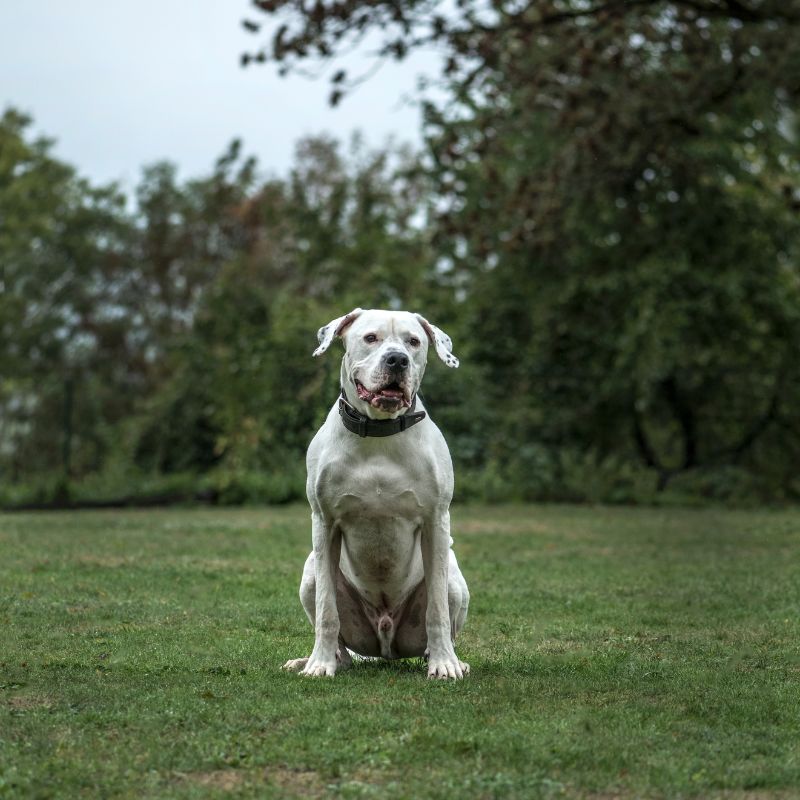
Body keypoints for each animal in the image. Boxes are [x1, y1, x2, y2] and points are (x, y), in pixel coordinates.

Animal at [282, 310, 468, 680]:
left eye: (413, 341)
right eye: (371, 338)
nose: (397, 359)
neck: (380, 432)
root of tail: (385, 646)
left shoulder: (436, 523)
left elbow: (437, 610)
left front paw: (444, 665)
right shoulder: (324, 524)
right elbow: (327, 611)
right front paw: (319, 665)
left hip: (455, 579)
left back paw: (448, 658)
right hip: (310, 572)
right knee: (339, 638)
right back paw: (316, 660)